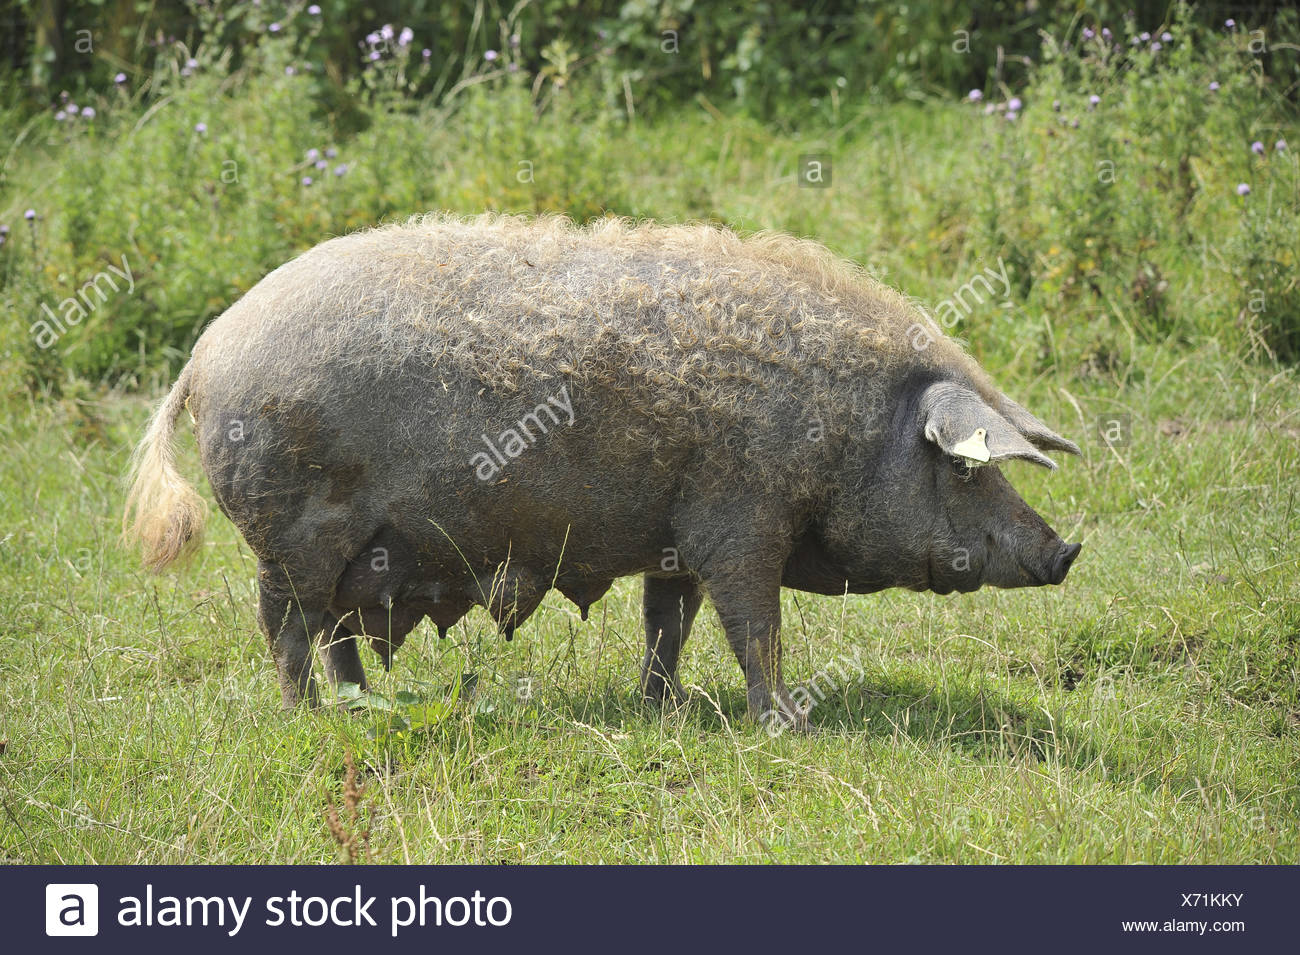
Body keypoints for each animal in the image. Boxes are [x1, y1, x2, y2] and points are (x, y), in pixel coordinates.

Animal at [124, 214, 1081, 729]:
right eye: (966, 472)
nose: (1066, 550)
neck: (846, 425)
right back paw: (311, 719)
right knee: (288, 628)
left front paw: (669, 707)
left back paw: (367, 707)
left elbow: (669, 623)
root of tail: (206, 353)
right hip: (290, 534)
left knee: (334, 633)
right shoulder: (741, 519)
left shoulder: (679, 532)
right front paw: (787, 722)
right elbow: (755, 626)